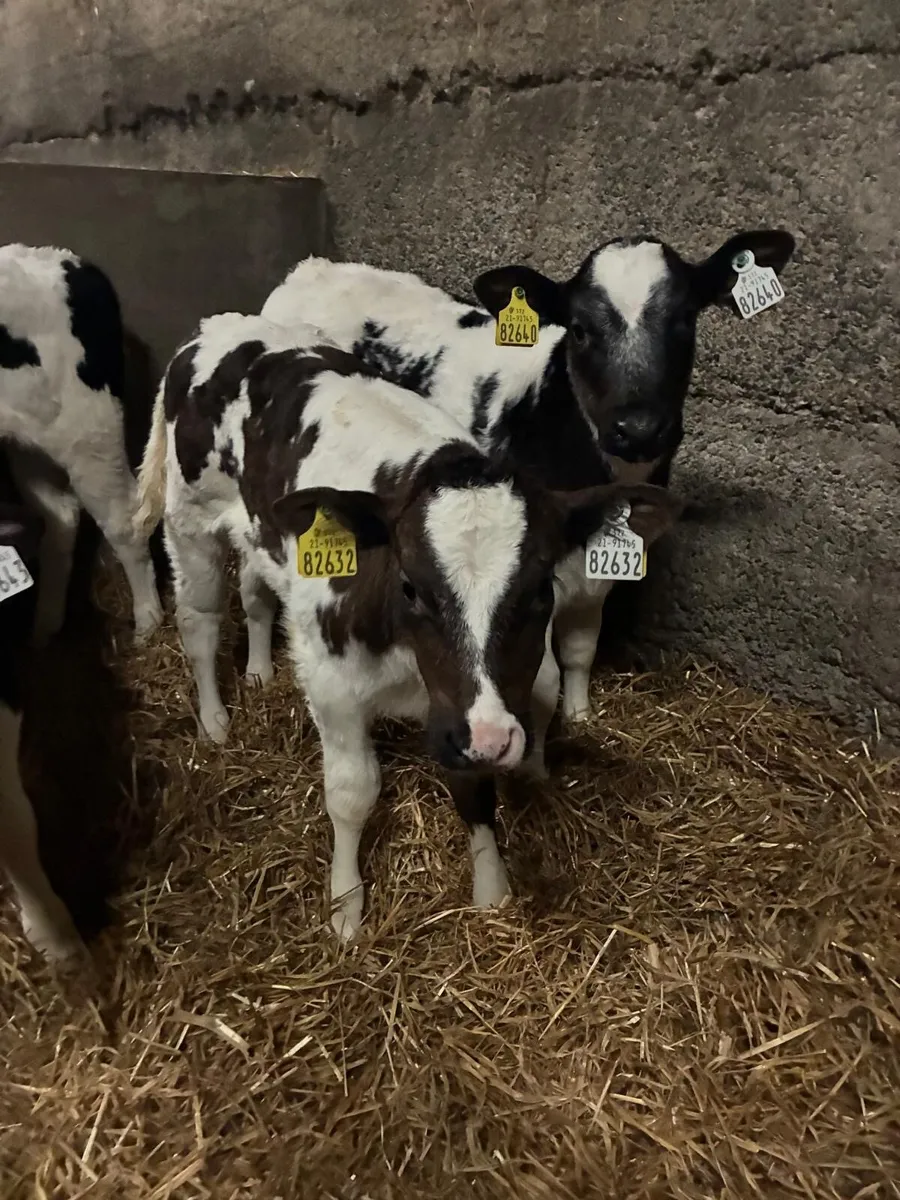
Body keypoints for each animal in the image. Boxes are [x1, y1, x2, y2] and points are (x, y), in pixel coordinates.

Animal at [0, 243, 162, 645]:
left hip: (88, 432)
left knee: (123, 520)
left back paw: (147, 622)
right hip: (29, 443)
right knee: (61, 518)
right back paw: (43, 630)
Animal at [134, 312, 682, 939]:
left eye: (540, 590)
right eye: (411, 587)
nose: (489, 739)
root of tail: (216, 327)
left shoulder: (470, 711)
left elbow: (475, 792)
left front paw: (491, 890)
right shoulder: (335, 684)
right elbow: (352, 794)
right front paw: (345, 907)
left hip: (257, 533)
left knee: (254, 592)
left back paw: (257, 670)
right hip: (190, 521)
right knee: (199, 622)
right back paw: (215, 720)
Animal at [260, 229, 795, 721]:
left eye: (686, 319)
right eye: (579, 328)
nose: (639, 429)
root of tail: (312, 267)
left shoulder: (594, 575)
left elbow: (580, 653)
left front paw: (579, 716)